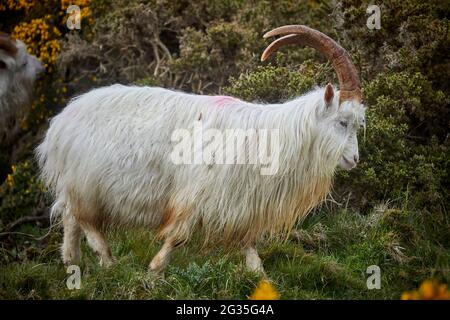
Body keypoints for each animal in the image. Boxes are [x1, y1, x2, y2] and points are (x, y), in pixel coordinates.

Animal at [36, 25, 366, 276]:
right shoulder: (195, 195)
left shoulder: (237, 202)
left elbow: (248, 244)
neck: (271, 136)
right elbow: (179, 236)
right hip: (85, 184)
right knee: (85, 221)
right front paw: (155, 272)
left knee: (71, 220)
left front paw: (260, 277)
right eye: (342, 121)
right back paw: (107, 261)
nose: (354, 159)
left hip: (79, 185)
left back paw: (73, 265)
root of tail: (60, 123)